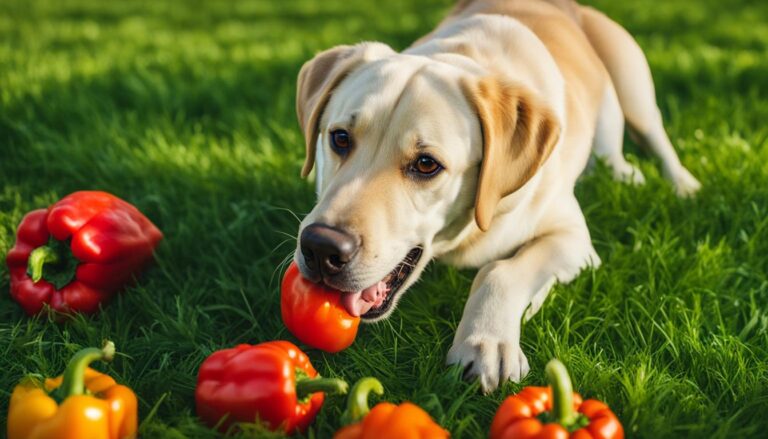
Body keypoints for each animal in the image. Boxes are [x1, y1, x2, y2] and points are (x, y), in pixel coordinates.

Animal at [292, 0, 700, 392]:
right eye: (340, 138)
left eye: (426, 164)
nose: (322, 247)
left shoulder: (573, 237)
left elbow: (499, 270)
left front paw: (485, 343)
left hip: (635, 91)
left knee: (654, 140)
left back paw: (683, 185)